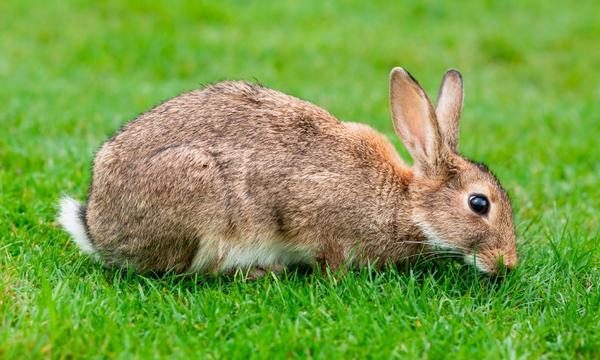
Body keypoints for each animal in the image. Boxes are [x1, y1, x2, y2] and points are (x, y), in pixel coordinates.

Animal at [58, 67, 516, 276]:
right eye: (479, 203)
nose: (507, 264)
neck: (406, 205)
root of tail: (97, 227)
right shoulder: (316, 214)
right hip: (198, 196)